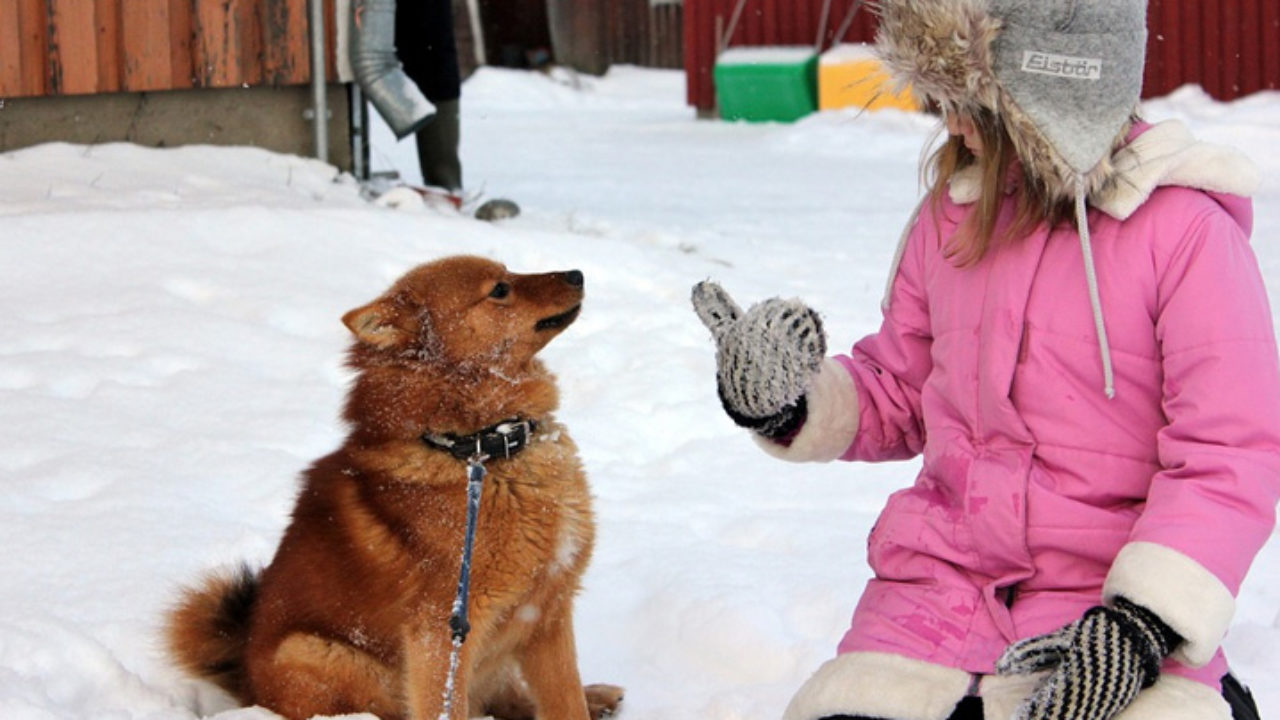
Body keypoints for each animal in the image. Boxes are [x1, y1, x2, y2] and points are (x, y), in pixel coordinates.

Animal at [165, 254, 624, 712]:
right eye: (499, 289)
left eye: (508, 271)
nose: (577, 274)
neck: (479, 449)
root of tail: (245, 678)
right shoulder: (442, 633)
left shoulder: (548, 612)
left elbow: (566, 702)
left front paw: (583, 700)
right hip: (319, 654)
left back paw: (599, 695)